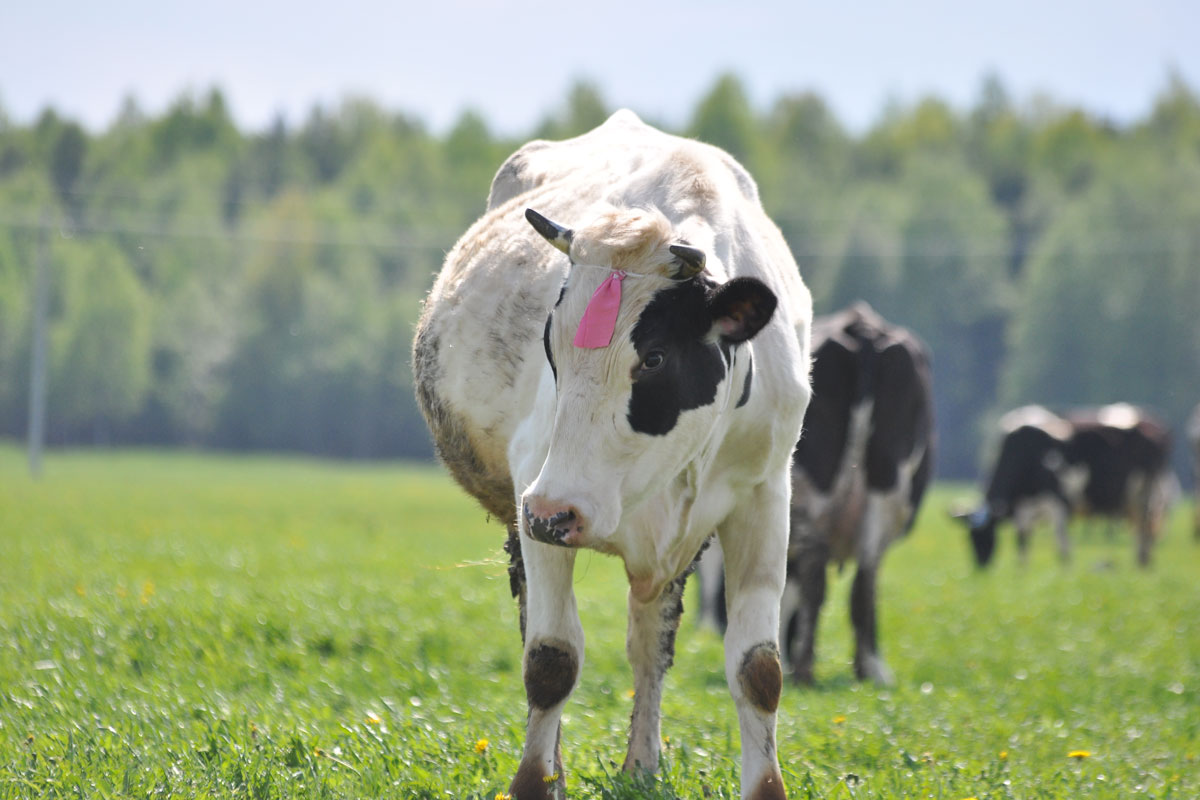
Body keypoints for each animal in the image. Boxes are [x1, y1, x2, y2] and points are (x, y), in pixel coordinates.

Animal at [412, 110, 816, 800]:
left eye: (653, 357)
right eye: (550, 345)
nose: (555, 511)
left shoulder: (765, 498)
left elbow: (758, 668)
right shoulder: (537, 497)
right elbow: (550, 659)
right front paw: (534, 782)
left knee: (650, 641)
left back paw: (642, 766)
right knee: (543, 629)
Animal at [955, 402, 1171, 566]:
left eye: (985, 535)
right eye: (969, 538)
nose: (980, 565)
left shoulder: (1058, 501)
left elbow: (1061, 540)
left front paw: (1065, 568)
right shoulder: (1024, 507)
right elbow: (1023, 539)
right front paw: (1022, 570)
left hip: (1146, 491)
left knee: (1145, 526)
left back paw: (1142, 561)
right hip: (1133, 498)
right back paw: (1142, 561)